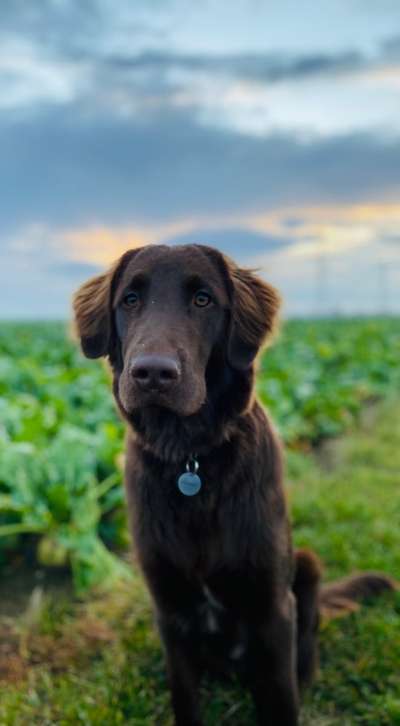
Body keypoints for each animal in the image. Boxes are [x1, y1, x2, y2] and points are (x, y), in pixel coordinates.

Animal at [73, 246, 396, 726]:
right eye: (129, 300)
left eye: (203, 299)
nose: (152, 373)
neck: (190, 456)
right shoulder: (169, 608)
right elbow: (185, 698)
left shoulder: (272, 607)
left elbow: (280, 698)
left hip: (306, 565)